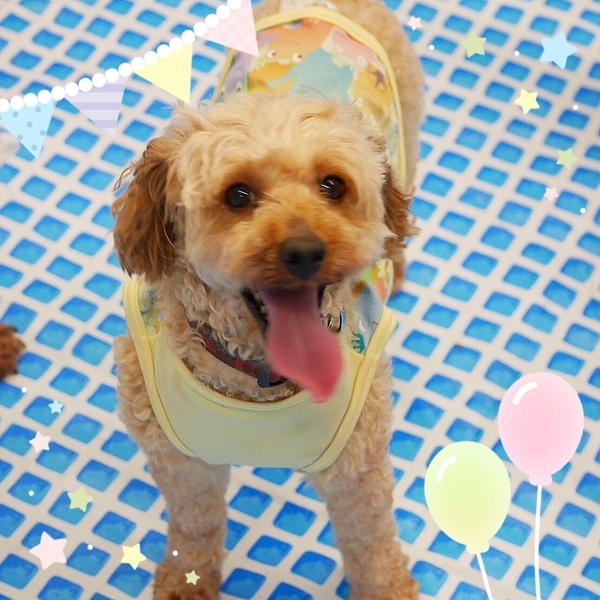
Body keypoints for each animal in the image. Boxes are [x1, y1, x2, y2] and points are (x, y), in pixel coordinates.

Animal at [111, 0, 423, 597]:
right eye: (238, 195)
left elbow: (372, 546)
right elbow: (195, 526)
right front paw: (186, 580)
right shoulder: (182, 465)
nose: (305, 250)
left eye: (333, 186)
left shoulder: (358, 473)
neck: (258, 384)